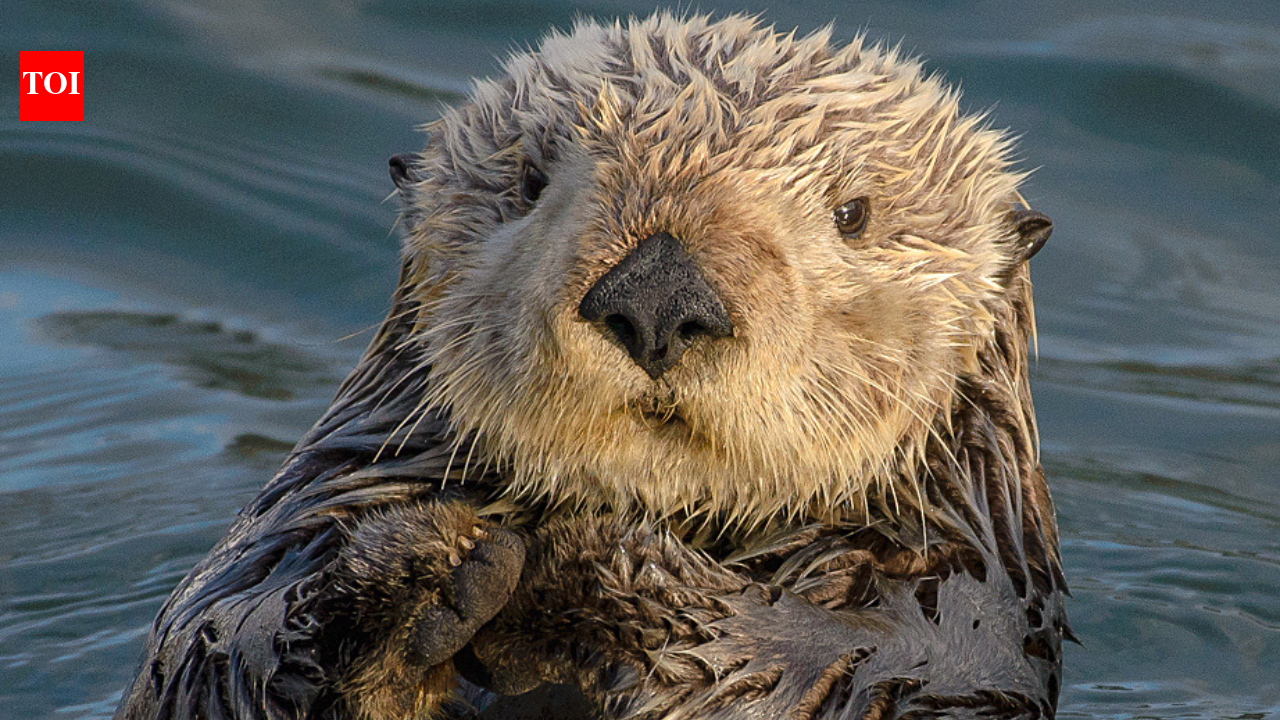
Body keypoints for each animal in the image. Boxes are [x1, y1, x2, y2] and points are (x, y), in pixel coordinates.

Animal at [116, 13, 1067, 720]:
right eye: (529, 183)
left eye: (854, 212)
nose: (656, 296)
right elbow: (210, 645)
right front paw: (425, 568)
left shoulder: (953, 626)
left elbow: (821, 664)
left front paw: (586, 580)